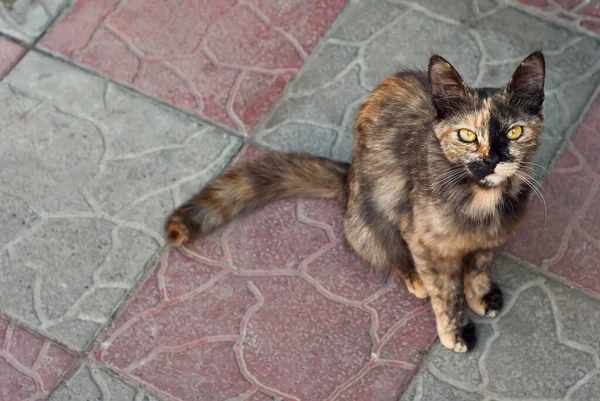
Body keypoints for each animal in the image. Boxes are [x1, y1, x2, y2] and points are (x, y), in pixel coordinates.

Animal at [163, 50, 544, 354]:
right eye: (466, 135)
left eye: (514, 132)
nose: (492, 160)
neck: (481, 199)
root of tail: (347, 179)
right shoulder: (422, 239)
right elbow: (446, 291)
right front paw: (456, 327)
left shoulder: (492, 237)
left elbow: (479, 266)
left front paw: (479, 293)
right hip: (370, 217)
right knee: (390, 252)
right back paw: (415, 278)